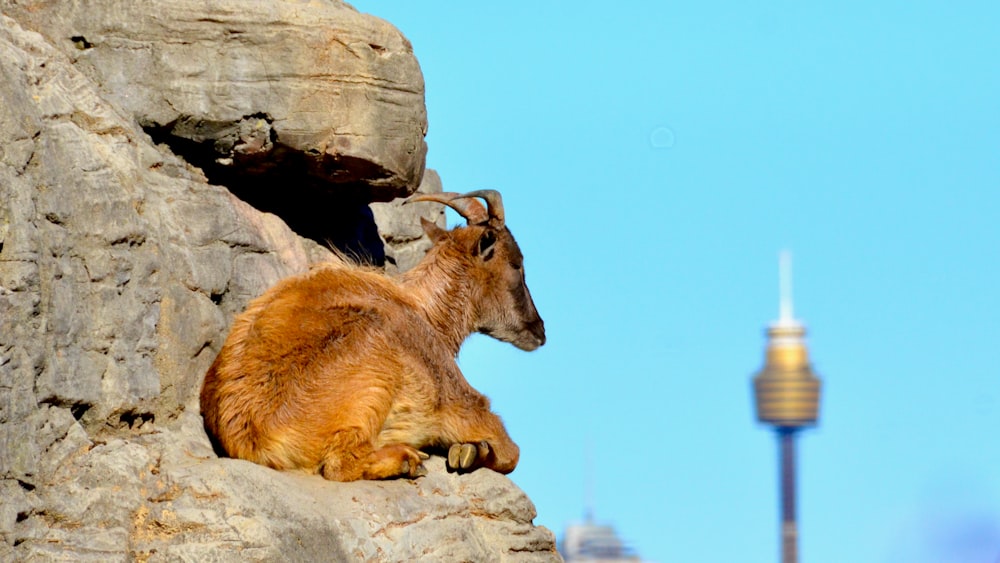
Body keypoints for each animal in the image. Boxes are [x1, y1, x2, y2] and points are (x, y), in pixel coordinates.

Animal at [198, 189, 548, 480]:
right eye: (516, 264)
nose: (539, 329)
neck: (424, 311)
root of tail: (252, 437)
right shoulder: (456, 399)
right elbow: (509, 450)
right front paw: (472, 451)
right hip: (375, 379)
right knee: (340, 463)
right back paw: (408, 460)